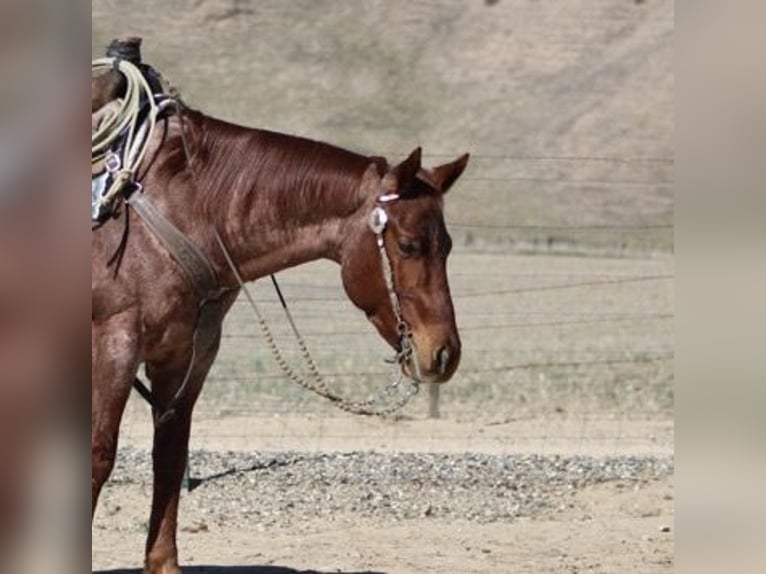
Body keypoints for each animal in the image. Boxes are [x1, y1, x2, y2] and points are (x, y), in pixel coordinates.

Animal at [92, 105, 469, 573]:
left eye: (448, 245)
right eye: (409, 245)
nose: (445, 352)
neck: (186, 212)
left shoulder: (182, 359)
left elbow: (170, 456)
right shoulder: (115, 346)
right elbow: (99, 455)